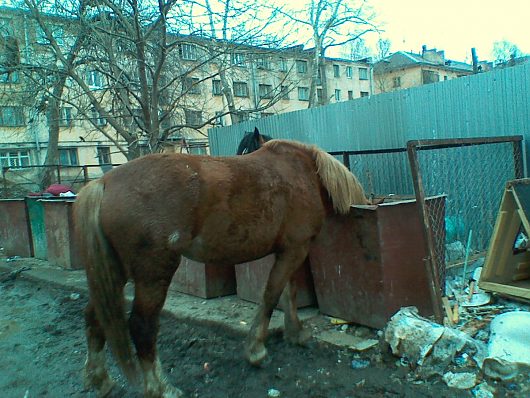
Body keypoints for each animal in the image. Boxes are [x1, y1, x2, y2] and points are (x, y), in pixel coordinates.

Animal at [73, 138, 368, 396]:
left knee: (95, 316)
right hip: (153, 274)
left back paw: (99, 379)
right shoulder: (296, 249)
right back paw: (162, 388)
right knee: (142, 326)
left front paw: (295, 333)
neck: (305, 173)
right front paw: (256, 350)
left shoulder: (289, 250)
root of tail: (103, 183)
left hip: (114, 274)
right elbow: (271, 296)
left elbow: (288, 293)